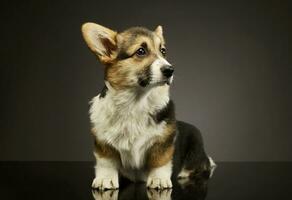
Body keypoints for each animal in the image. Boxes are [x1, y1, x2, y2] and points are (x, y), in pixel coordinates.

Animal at [81, 22, 216, 190]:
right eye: (141, 51)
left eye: (163, 51)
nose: (170, 70)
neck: (135, 102)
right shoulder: (102, 142)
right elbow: (106, 162)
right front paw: (105, 179)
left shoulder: (163, 141)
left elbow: (160, 161)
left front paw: (159, 179)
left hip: (196, 153)